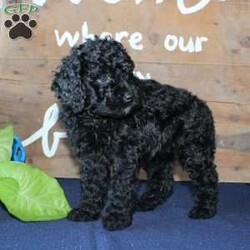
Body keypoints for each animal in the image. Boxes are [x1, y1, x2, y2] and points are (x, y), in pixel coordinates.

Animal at [51, 36, 218, 230]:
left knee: (208, 176)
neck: (97, 118)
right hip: (159, 154)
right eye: (103, 77)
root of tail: (201, 104)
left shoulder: (125, 154)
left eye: (127, 73)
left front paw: (116, 216)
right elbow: (91, 182)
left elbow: (120, 186)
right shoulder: (90, 155)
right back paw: (146, 202)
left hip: (194, 149)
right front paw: (87, 210)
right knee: (164, 181)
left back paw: (205, 209)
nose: (130, 97)